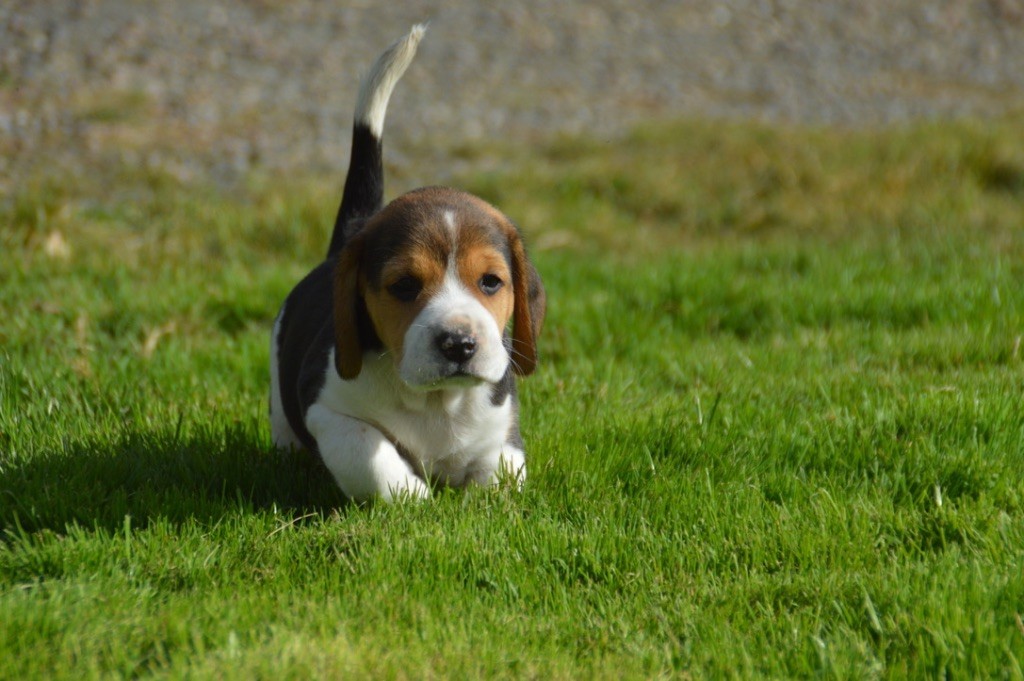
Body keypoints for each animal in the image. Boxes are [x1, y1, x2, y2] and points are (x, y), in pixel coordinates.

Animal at [270, 25, 544, 499]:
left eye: (491, 282)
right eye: (404, 286)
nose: (459, 344)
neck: (436, 401)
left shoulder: (503, 426)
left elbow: (499, 471)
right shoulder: (327, 408)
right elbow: (370, 455)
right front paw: (415, 497)